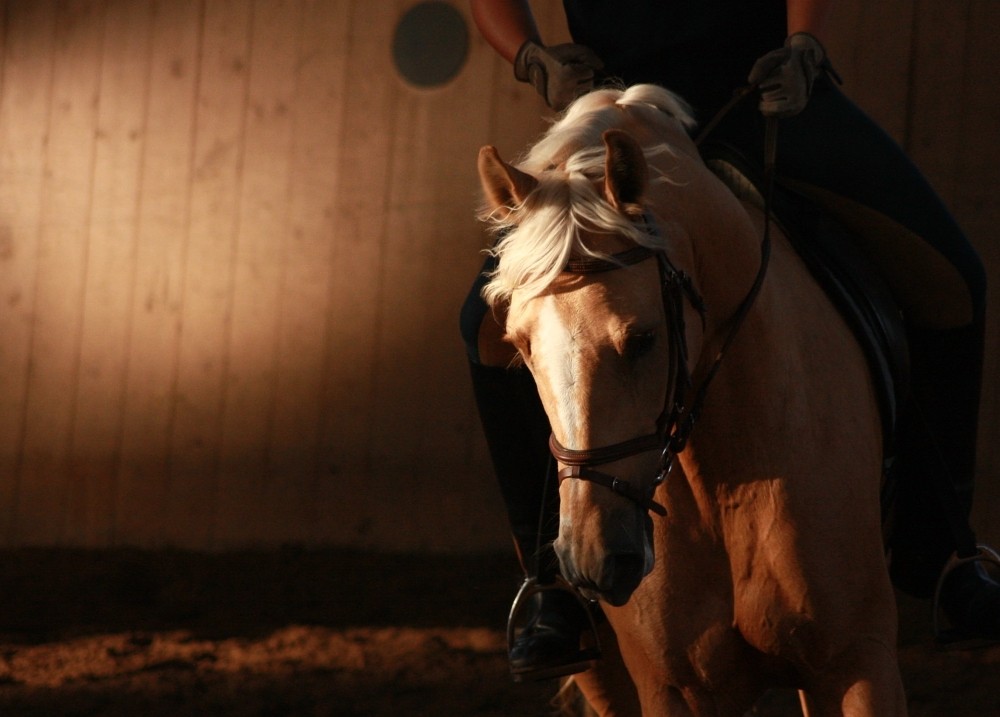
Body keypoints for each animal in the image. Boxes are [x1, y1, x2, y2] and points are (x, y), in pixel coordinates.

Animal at [476, 85, 908, 716]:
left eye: (643, 338)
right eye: (521, 345)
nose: (594, 557)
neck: (727, 480)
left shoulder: (857, 661)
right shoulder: (675, 688)